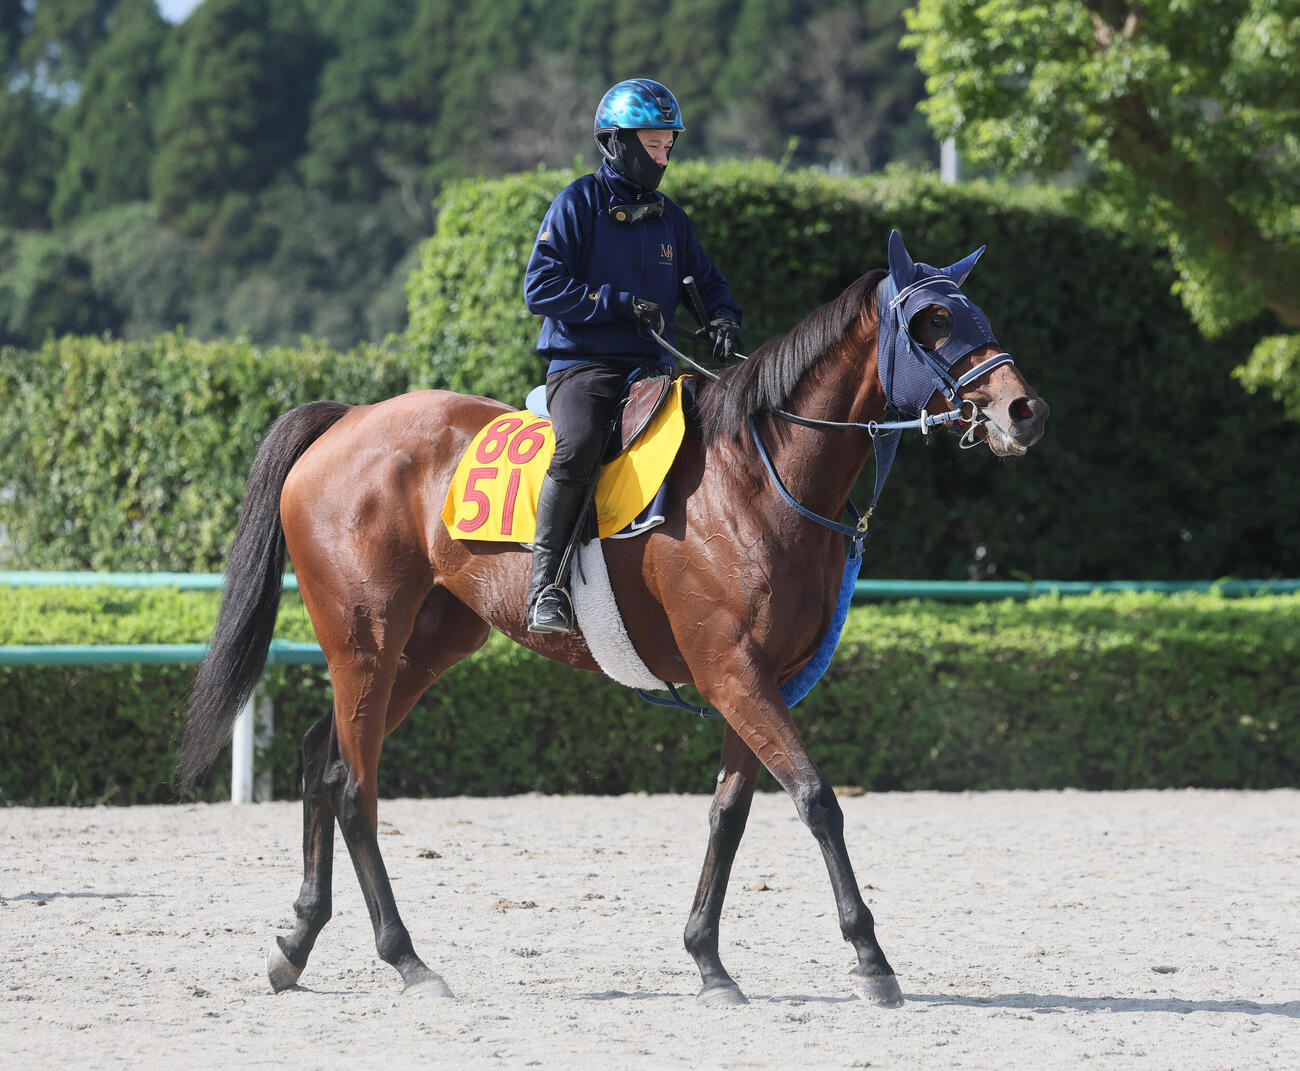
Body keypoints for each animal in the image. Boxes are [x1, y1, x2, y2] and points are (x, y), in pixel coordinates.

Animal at [175, 230, 1049, 1007]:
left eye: (975, 311)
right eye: (932, 320)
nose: (1023, 409)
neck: (757, 474)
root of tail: (348, 419)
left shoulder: (758, 678)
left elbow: (729, 814)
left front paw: (708, 960)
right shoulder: (733, 671)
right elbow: (815, 798)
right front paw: (870, 957)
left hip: (424, 647)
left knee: (320, 756)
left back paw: (297, 940)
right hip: (366, 640)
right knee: (353, 783)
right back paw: (407, 959)